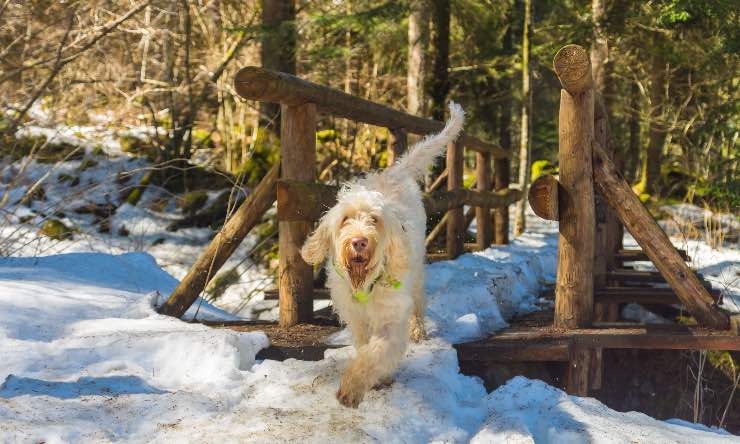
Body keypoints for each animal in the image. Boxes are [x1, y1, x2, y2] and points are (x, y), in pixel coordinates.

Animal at [300, 102, 462, 408]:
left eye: (374, 220)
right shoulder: (357, 318)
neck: (366, 285)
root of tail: (393, 174)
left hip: (416, 274)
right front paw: (374, 379)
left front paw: (354, 387)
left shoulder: (390, 319)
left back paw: (418, 330)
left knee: (418, 303)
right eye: (346, 219)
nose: (359, 242)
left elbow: (376, 353)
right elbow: (365, 347)